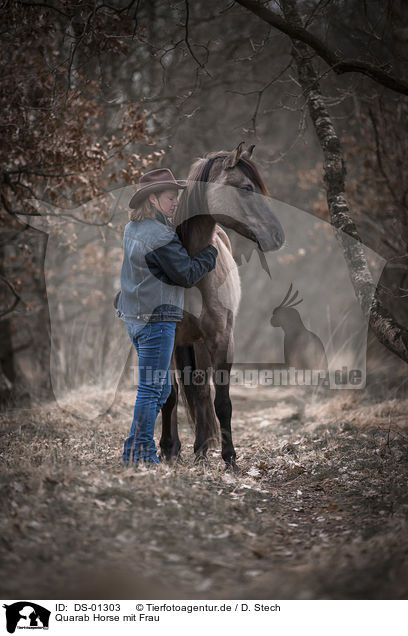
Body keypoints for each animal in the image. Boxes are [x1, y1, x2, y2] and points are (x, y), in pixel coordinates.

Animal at [158, 144, 286, 470]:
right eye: (247, 188)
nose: (278, 236)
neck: (188, 269)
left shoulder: (221, 339)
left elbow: (223, 401)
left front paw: (230, 459)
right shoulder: (168, 339)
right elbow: (170, 396)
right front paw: (169, 450)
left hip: (201, 344)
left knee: (202, 391)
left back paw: (202, 449)